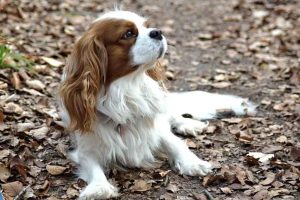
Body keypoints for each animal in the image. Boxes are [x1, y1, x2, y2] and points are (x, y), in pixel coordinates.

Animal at [58, 10, 255, 198]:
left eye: (146, 26)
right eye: (128, 34)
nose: (157, 32)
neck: (127, 90)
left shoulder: (156, 128)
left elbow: (175, 143)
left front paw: (193, 162)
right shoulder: (86, 148)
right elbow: (93, 167)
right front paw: (99, 188)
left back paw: (188, 124)